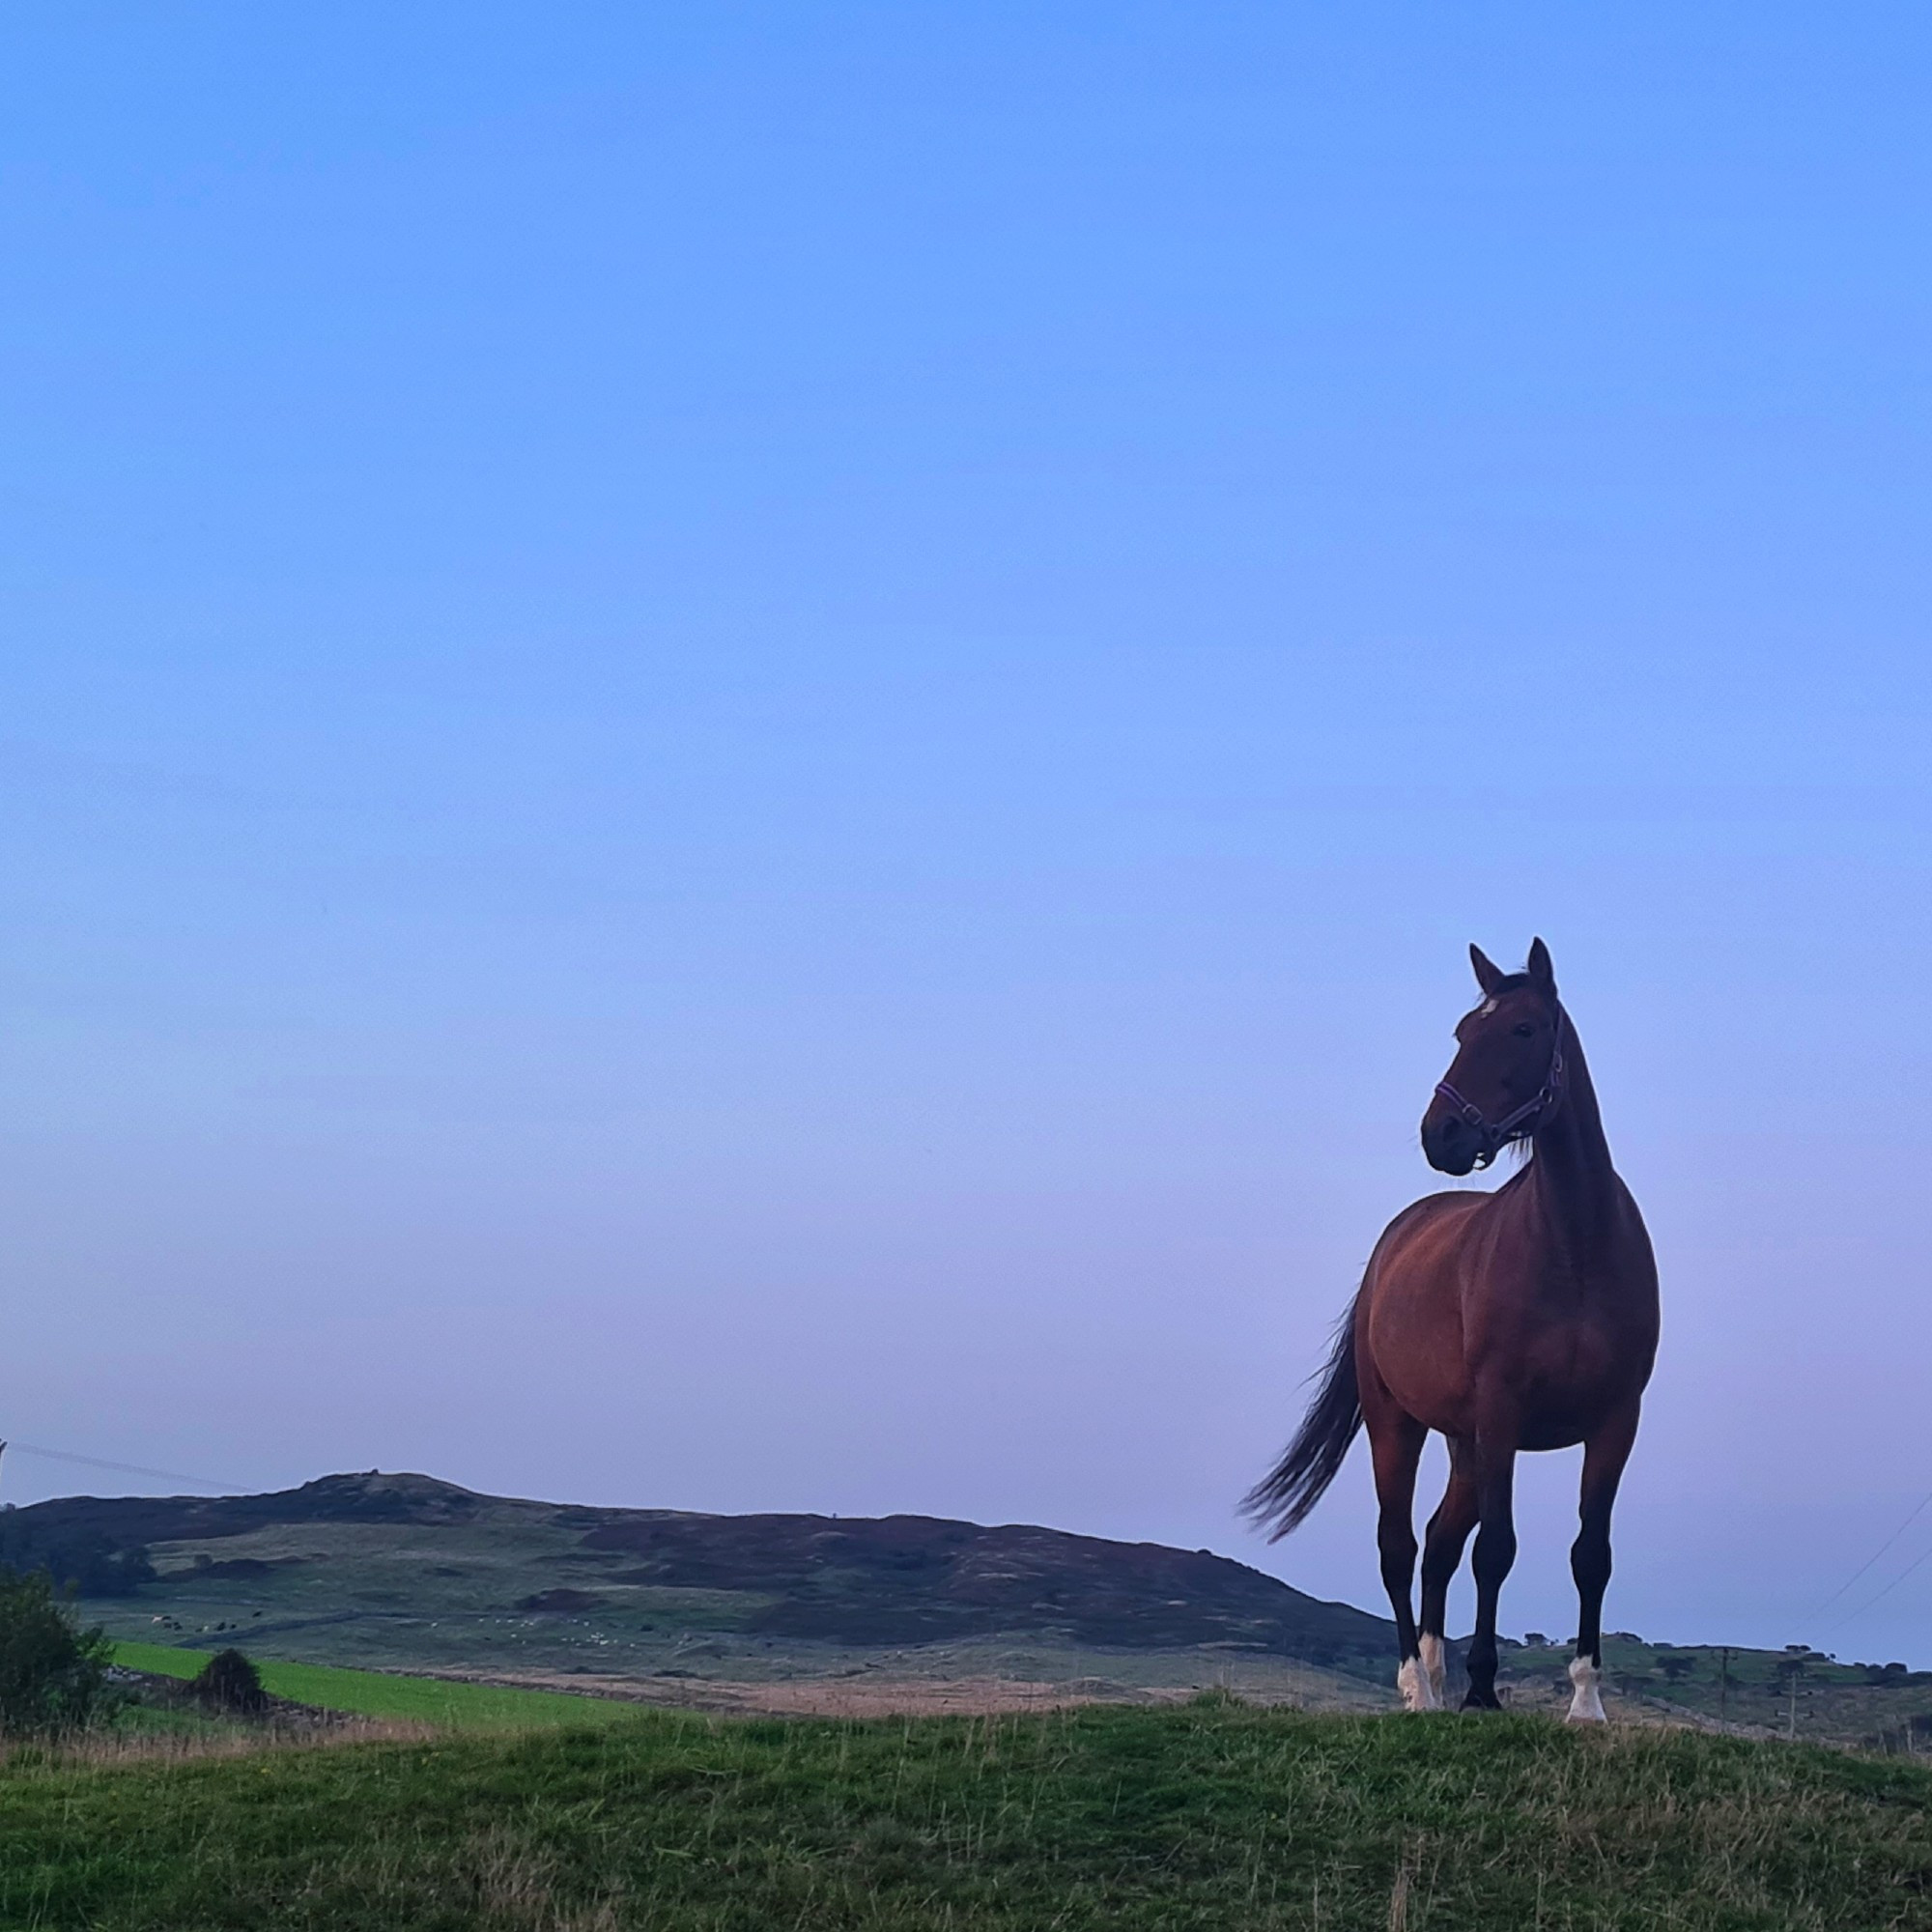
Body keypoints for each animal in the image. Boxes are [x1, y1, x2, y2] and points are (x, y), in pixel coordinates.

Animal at [1252, 943, 1662, 1716]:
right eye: (1463, 1032)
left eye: (1524, 1030)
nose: (1440, 1133)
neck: (1577, 1245)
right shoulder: (1503, 1413)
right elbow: (1495, 1551)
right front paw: (1482, 1692)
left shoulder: (1615, 1421)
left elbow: (1591, 1554)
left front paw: (1585, 1702)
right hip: (1398, 1425)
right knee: (1401, 1547)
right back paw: (1419, 1684)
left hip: (1463, 1445)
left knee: (1439, 1543)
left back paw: (1436, 1682)